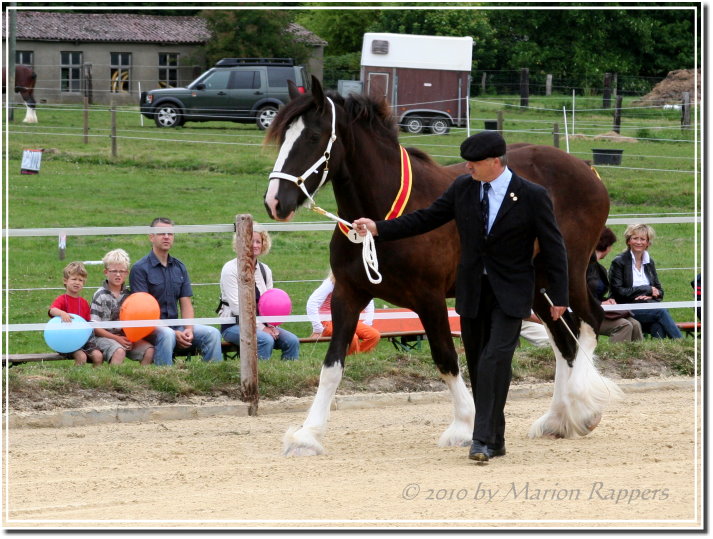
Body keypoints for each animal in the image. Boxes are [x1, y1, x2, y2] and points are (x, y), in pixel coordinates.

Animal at [264, 76, 620, 456]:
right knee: (563, 341)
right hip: (535, 286)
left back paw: (583, 408)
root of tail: (587, 170)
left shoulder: (429, 299)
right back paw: (556, 419)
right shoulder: (349, 295)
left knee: (588, 325)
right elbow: (332, 365)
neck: (385, 215)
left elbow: (446, 359)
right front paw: (307, 435)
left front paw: (464, 425)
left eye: (314, 136)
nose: (274, 202)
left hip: (564, 276)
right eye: (283, 136)